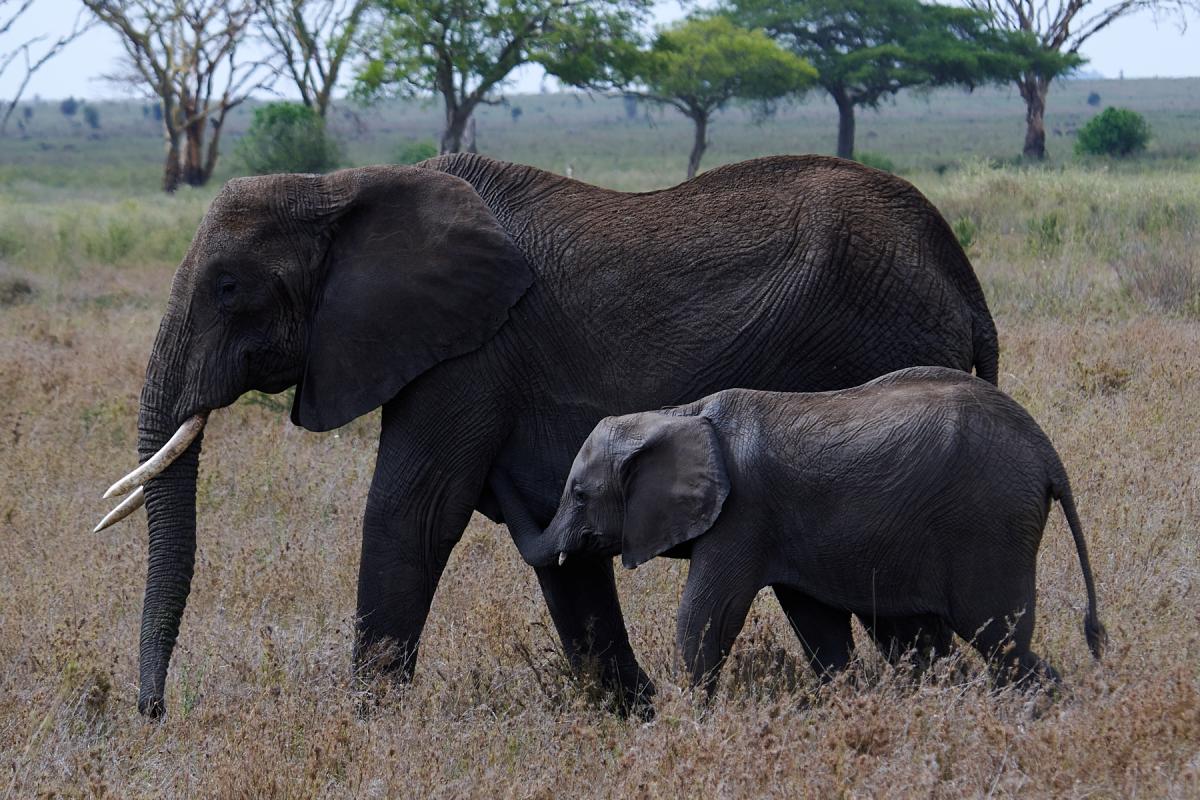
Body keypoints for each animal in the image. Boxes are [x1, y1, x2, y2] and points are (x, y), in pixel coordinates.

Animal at [93, 153, 998, 714]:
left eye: (228, 287)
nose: (154, 712)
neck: (342, 187)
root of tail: (963, 282)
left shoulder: (471, 353)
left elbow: (411, 515)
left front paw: (366, 727)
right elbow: (562, 564)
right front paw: (637, 720)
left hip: (876, 344)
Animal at [506, 367, 1104, 695]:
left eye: (579, 495)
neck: (677, 413)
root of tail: (1047, 454)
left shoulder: (742, 516)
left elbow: (707, 618)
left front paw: (689, 720)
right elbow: (817, 626)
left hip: (991, 525)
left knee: (999, 640)